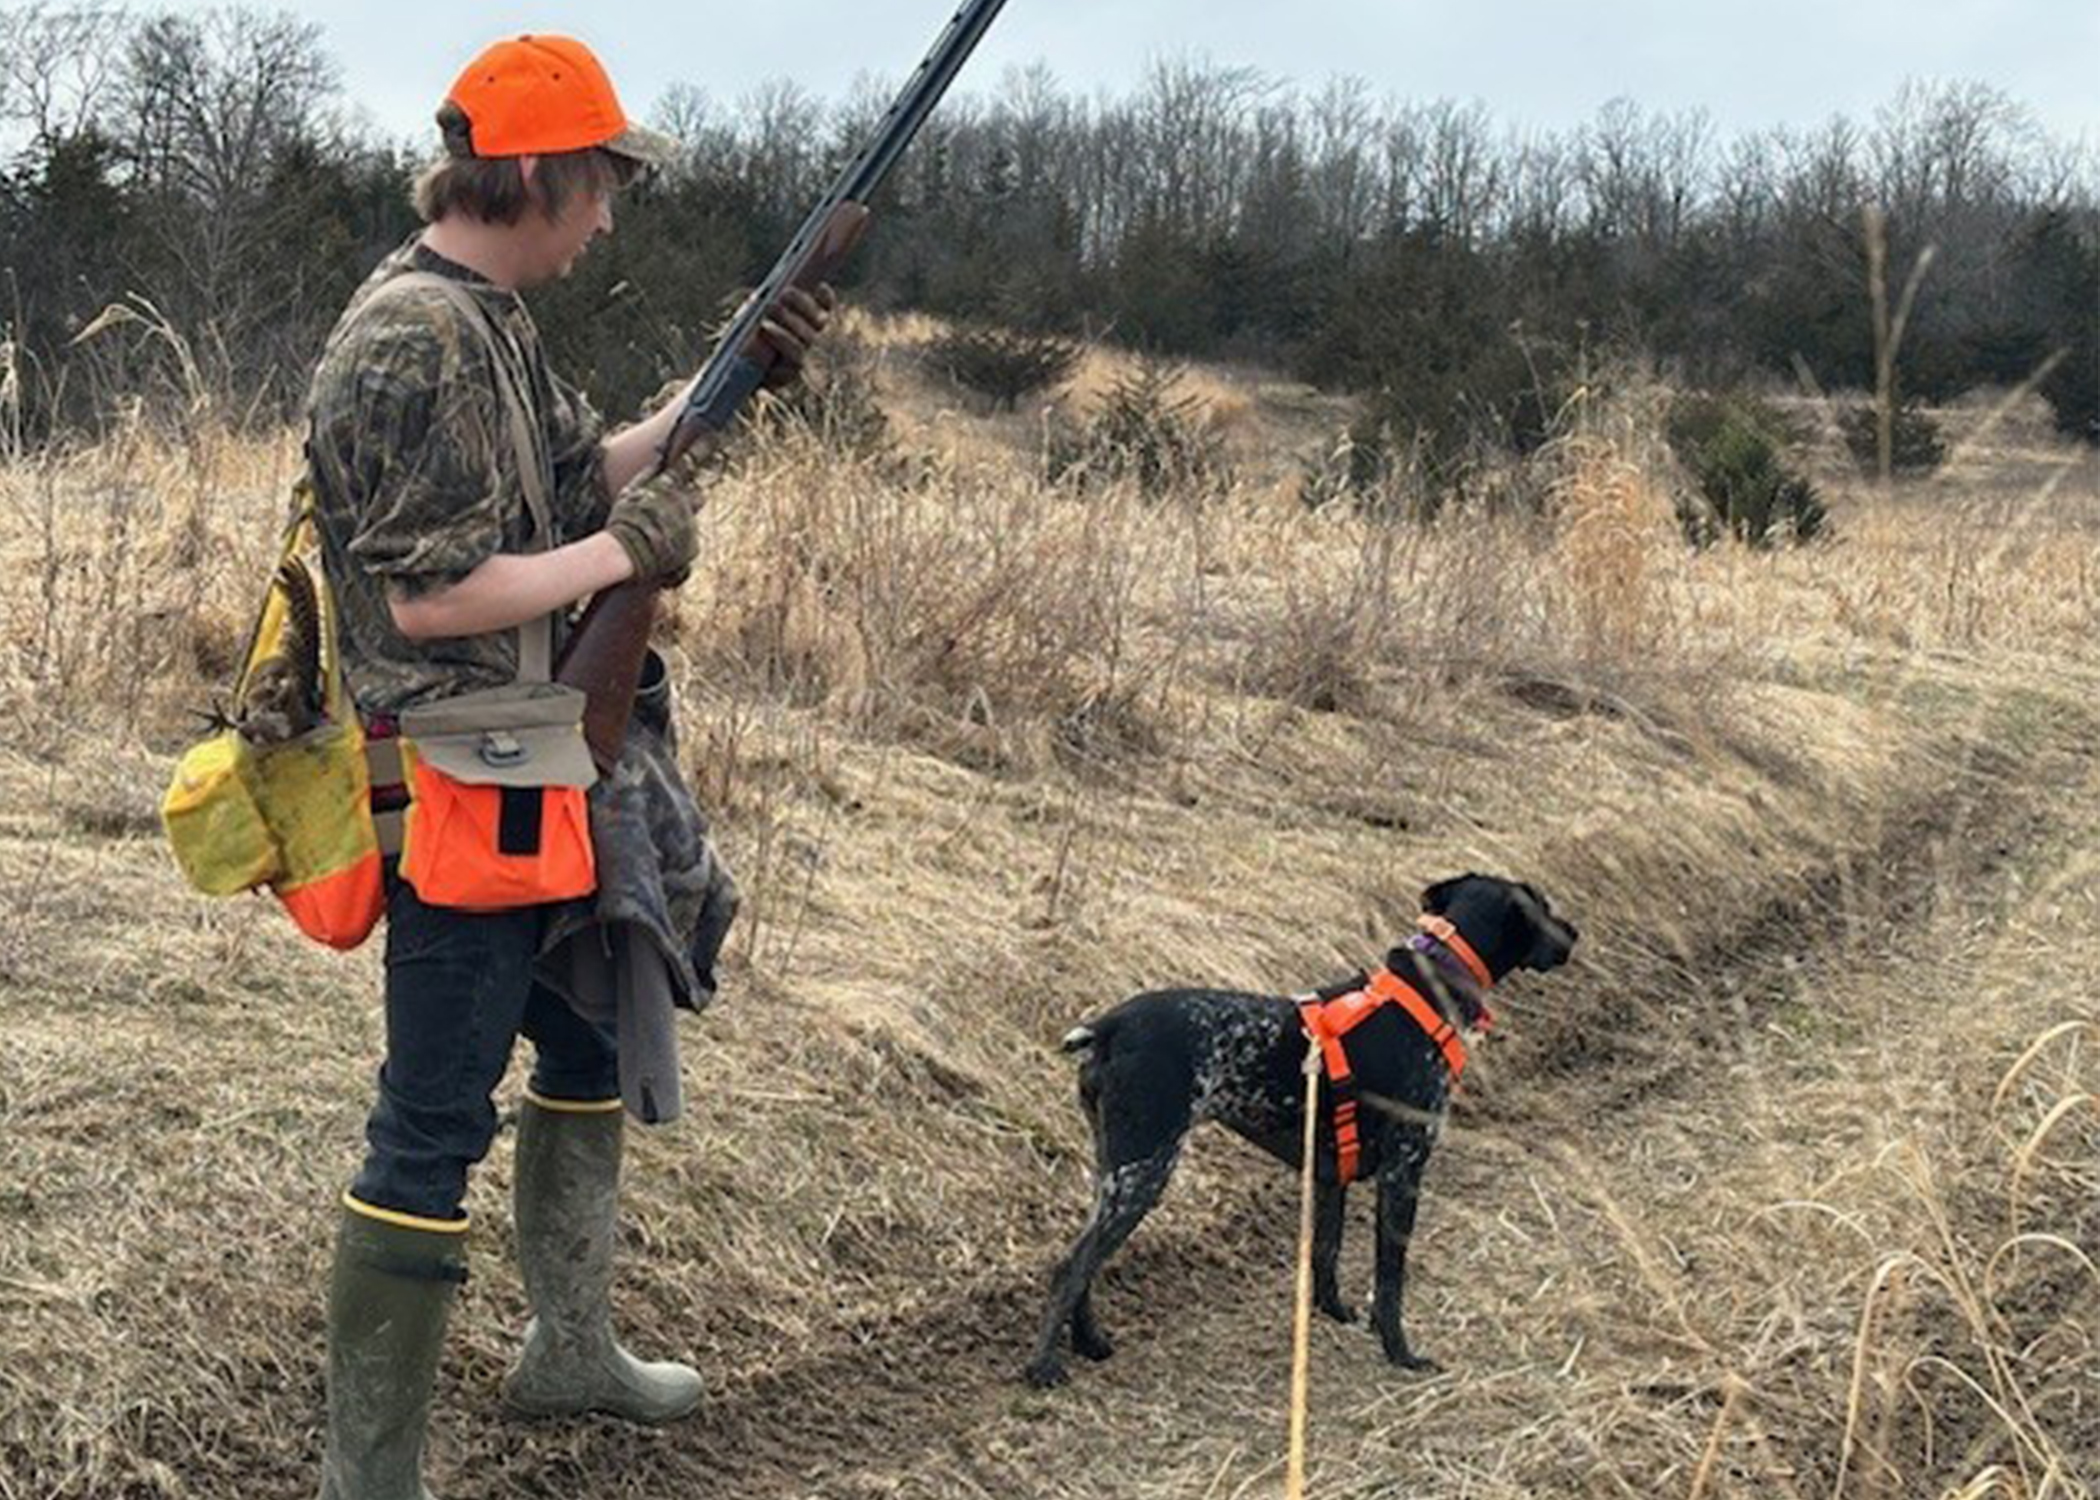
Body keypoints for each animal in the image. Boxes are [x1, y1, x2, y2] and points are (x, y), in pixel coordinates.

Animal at [1023, 873, 1578, 1389]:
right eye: (1544, 906)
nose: (1575, 933)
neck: (1432, 981)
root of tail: (1108, 1027)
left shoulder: (1331, 1175)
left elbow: (1326, 1257)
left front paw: (1335, 1318)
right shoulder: (1404, 1170)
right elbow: (1390, 1279)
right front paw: (1400, 1352)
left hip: (1116, 1168)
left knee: (1086, 1261)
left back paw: (1090, 1342)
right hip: (1145, 1168)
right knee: (1070, 1267)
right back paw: (1043, 1366)